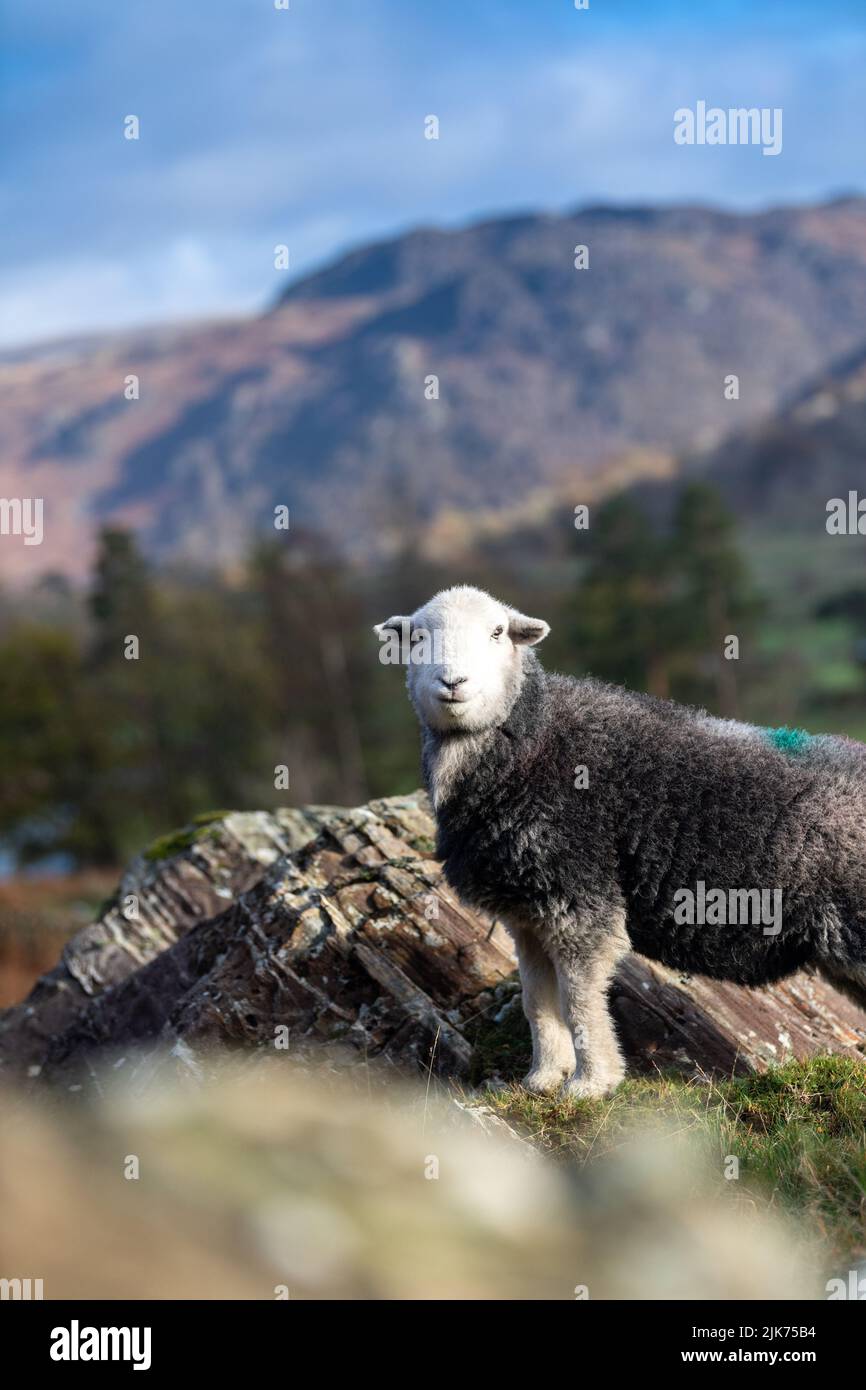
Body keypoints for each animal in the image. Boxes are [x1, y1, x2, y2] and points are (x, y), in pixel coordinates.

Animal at [375, 583, 866, 1095]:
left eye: (497, 632)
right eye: (417, 638)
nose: (453, 682)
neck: (533, 741)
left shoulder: (579, 898)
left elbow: (579, 1000)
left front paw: (592, 1084)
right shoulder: (526, 911)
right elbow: (538, 1001)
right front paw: (543, 1078)